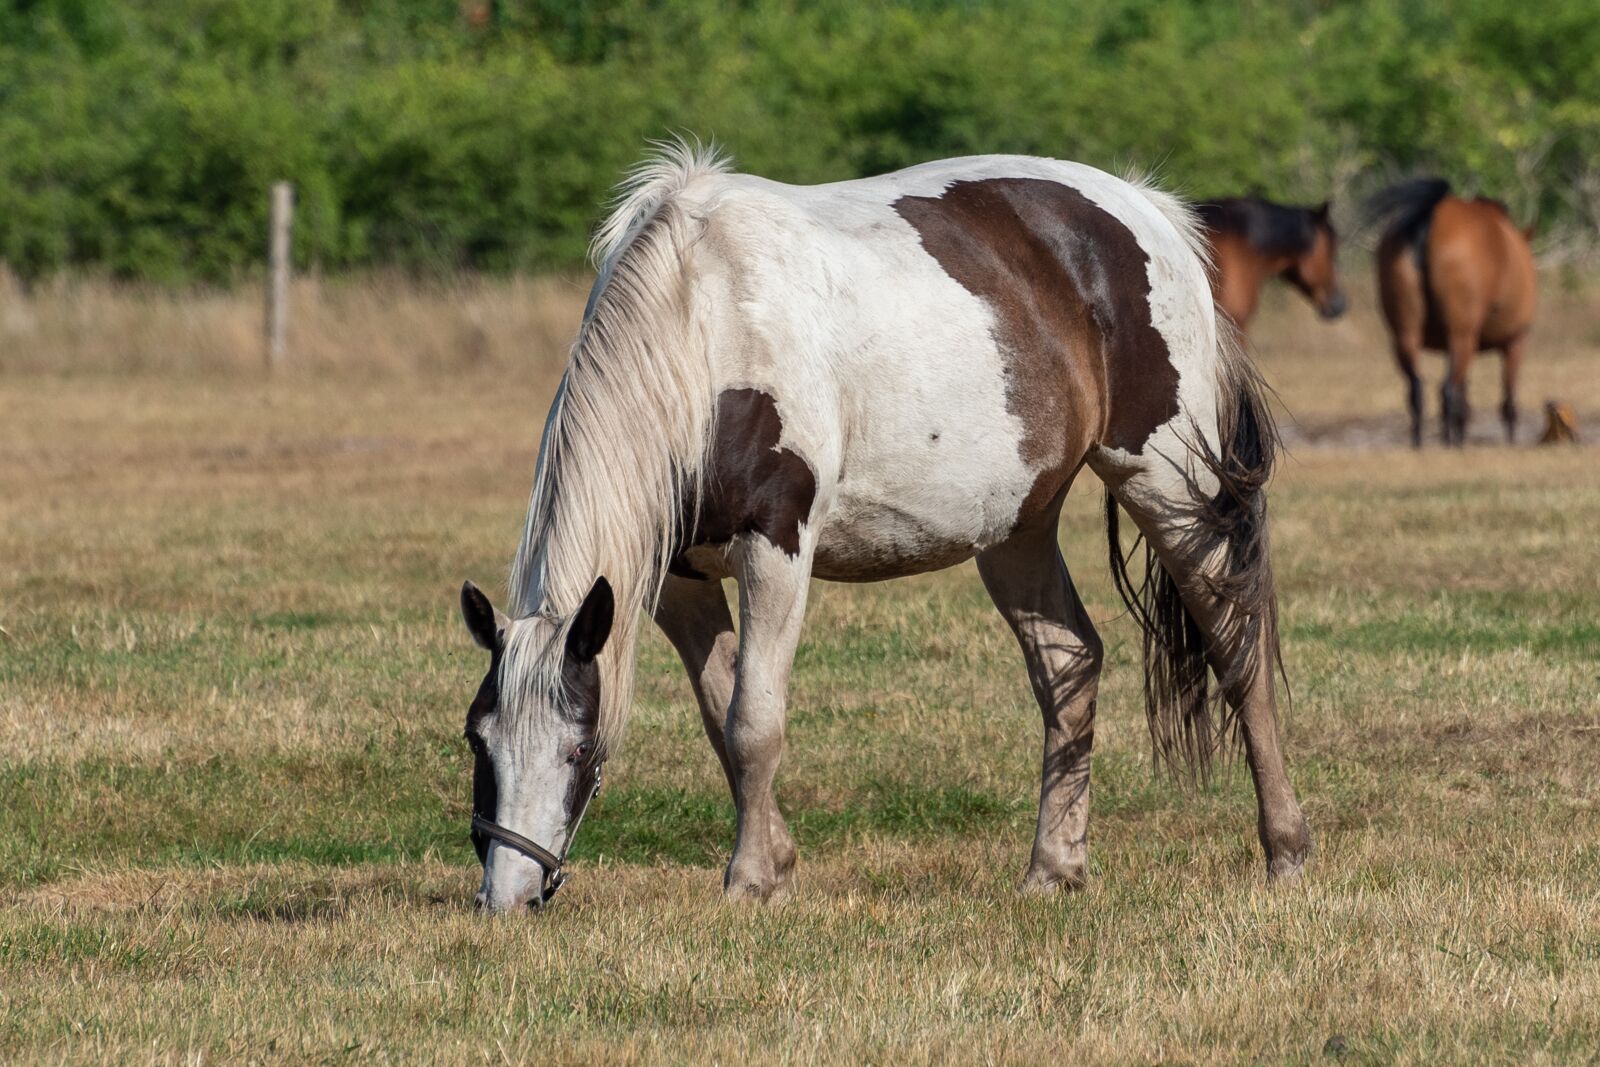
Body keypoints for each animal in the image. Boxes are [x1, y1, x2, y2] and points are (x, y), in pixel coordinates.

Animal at [458, 141, 1312, 911]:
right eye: (478, 736)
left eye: (579, 745)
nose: (508, 896)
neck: (702, 323)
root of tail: (1149, 209)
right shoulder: (676, 578)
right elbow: (720, 712)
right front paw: (776, 859)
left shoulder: (777, 547)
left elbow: (753, 719)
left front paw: (750, 880)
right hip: (1018, 524)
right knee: (1070, 663)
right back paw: (1053, 868)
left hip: (1166, 479)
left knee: (1233, 641)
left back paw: (1285, 848)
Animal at [1367, 178, 1537, 447]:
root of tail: (1429, 218)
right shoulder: (1515, 341)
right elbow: (1508, 401)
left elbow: (1463, 397)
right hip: (1462, 336)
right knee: (1446, 391)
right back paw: (1449, 444)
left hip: (1407, 335)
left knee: (1417, 389)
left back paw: (1419, 443)